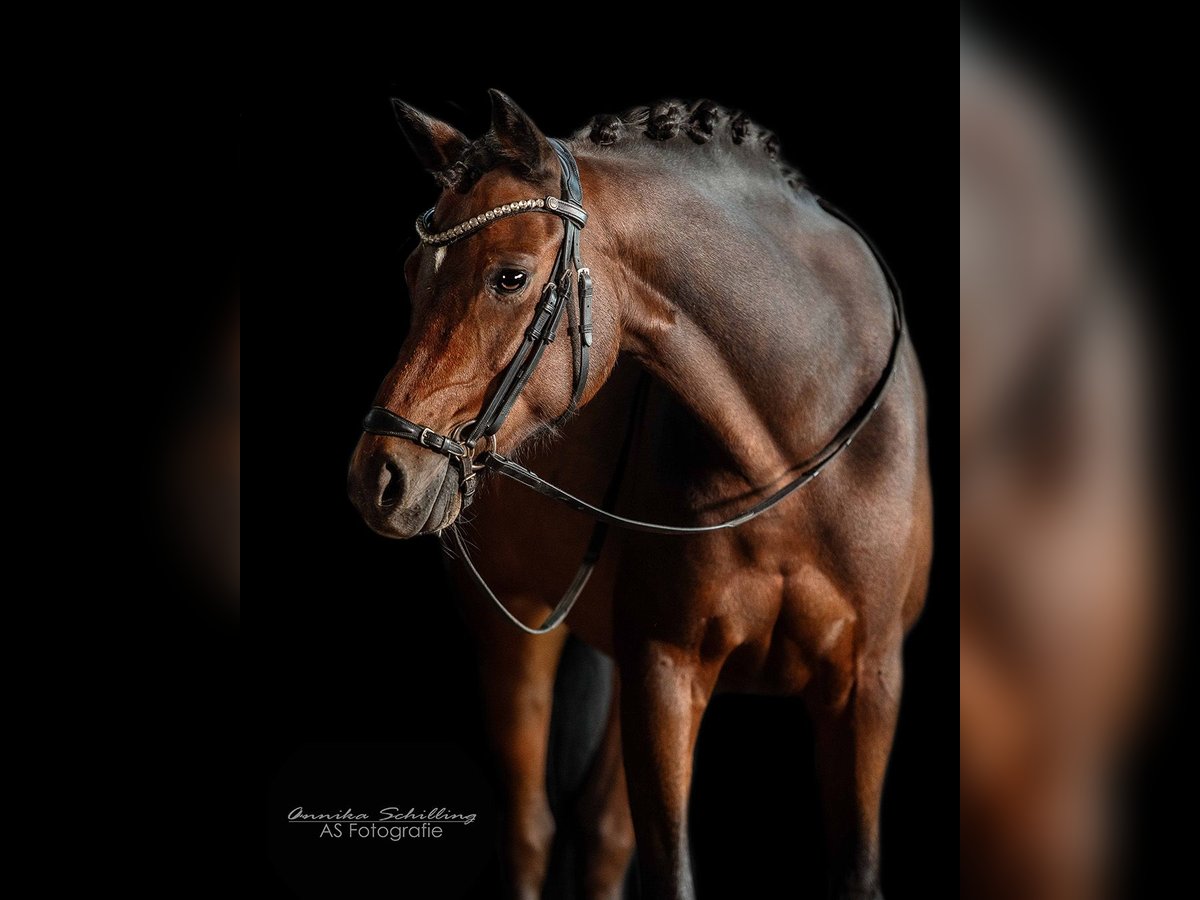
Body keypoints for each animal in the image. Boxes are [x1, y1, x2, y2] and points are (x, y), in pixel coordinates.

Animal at [350, 93, 931, 900]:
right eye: (412, 273)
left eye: (510, 277)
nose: (380, 474)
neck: (806, 420)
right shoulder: (666, 672)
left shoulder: (869, 685)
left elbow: (857, 872)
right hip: (514, 629)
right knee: (533, 832)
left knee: (600, 833)